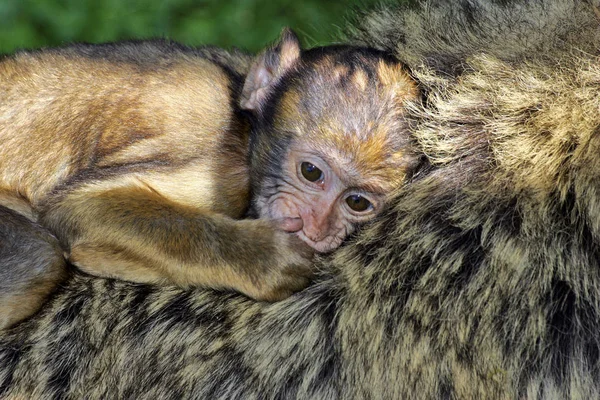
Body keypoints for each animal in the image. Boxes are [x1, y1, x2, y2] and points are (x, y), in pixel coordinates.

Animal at [0, 28, 418, 328]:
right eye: (311, 172)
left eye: (357, 202)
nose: (317, 227)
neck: (245, 129)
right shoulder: (221, 168)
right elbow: (78, 207)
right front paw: (266, 257)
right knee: (41, 258)